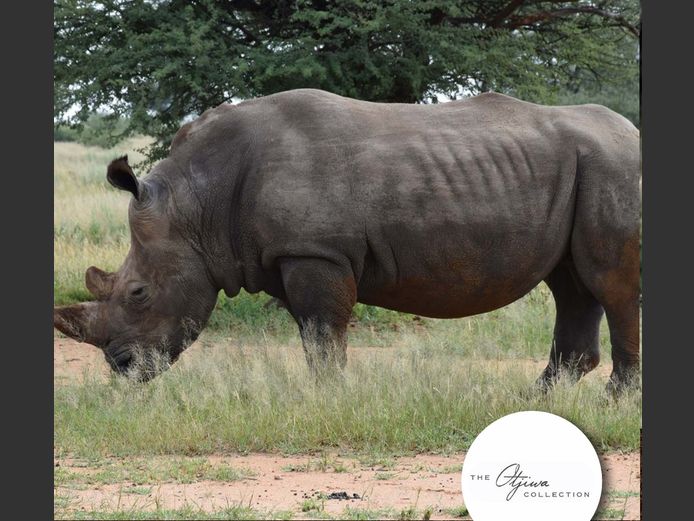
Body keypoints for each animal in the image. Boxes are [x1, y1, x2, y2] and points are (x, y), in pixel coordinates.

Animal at [54, 89, 641, 389]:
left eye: (138, 294)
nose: (122, 368)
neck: (197, 205)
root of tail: (633, 132)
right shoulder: (285, 253)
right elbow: (312, 332)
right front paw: (325, 391)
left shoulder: (316, 251)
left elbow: (322, 330)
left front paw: (327, 397)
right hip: (585, 172)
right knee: (571, 284)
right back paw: (542, 397)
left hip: (614, 165)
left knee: (610, 284)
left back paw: (615, 400)